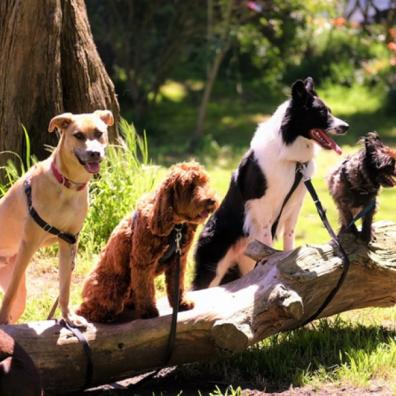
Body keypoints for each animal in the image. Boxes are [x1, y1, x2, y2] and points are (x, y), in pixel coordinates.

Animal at [0, 109, 113, 324]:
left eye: (99, 133)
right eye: (78, 135)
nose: (95, 153)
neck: (67, 185)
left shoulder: (69, 241)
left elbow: (65, 287)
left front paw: (68, 317)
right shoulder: (28, 245)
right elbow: (9, 294)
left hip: (20, 298)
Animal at [76, 161, 217, 322]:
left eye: (205, 182)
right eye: (190, 186)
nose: (212, 200)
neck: (175, 227)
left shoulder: (179, 260)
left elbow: (177, 285)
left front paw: (180, 303)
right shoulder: (143, 262)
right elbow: (145, 289)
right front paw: (149, 311)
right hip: (115, 286)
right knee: (88, 309)